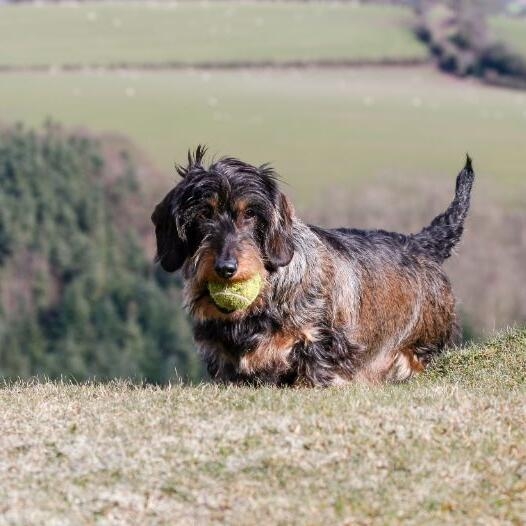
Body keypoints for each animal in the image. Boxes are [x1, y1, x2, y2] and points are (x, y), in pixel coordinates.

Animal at [151, 148, 476, 388]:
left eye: (250, 214)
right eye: (204, 213)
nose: (226, 268)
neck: (263, 301)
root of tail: (421, 243)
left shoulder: (319, 347)